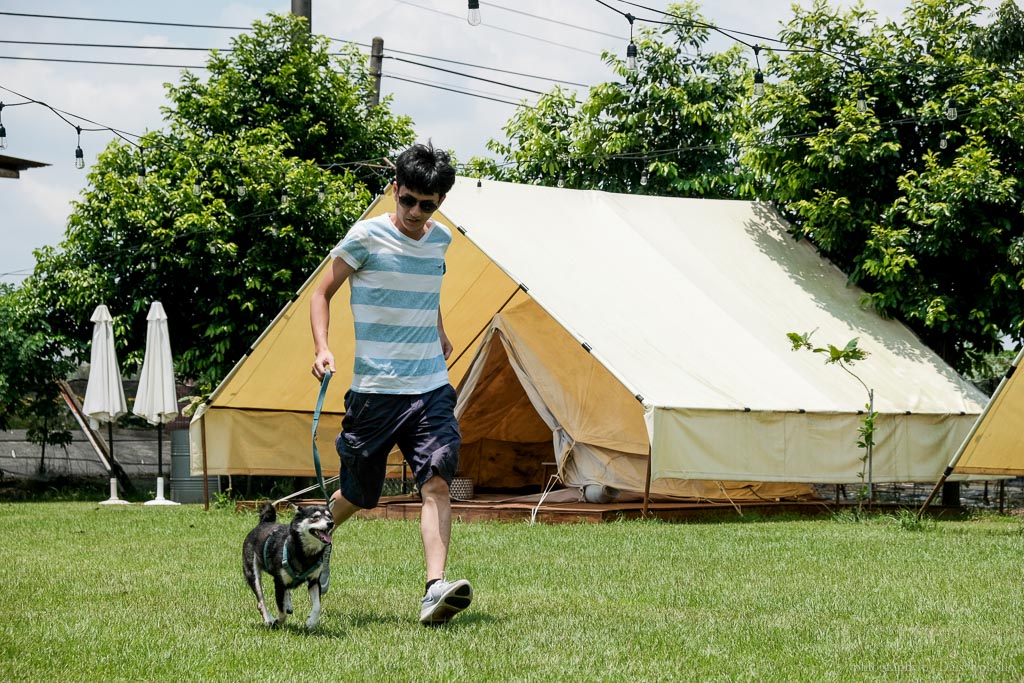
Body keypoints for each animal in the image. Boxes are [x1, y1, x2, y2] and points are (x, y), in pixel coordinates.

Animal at [241, 501, 333, 630]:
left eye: (329, 516)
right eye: (315, 517)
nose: (331, 523)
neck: (304, 554)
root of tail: (264, 523)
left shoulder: (314, 581)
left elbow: (317, 606)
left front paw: (311, 622)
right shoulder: (279, 583)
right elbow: (282, 611)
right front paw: (278, 622)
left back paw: (288, 604)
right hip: (252, 573)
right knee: (261, 600)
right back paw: (269, 619)